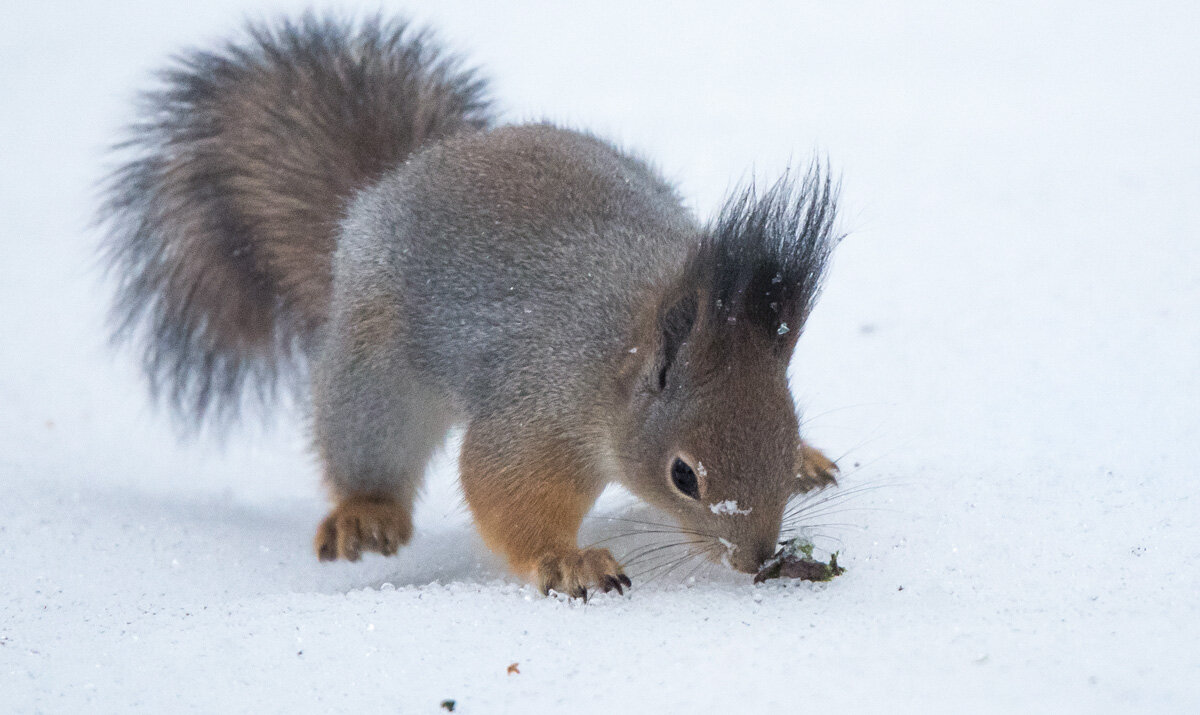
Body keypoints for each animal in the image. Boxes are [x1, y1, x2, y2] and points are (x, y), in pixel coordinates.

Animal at [98, 15, 840, 597]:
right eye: (683, 475)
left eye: (785, 426)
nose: (756, 558)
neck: (626, 346)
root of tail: (384, 185)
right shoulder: (539, 407)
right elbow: (501, 485)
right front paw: (568, 561)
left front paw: (803, 461)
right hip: (377, 376)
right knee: (365, 443)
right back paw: (366, 510)